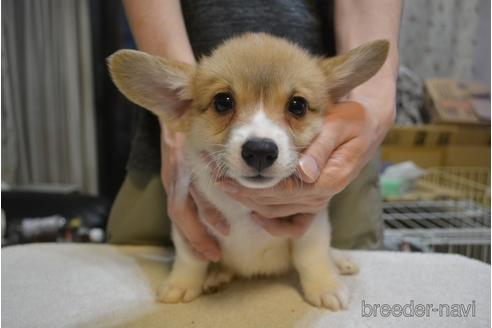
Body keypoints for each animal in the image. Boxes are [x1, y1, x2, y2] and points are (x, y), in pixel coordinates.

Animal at [108, 33, 388, 310]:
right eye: (222, 102)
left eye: (297, 105)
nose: (260, 150)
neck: (245, 210)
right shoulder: (188, 223)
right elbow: (191, 259)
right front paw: (181, 284)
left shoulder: (311, 222)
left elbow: (313, 256)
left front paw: (325, 287)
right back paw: (217, 276)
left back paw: (340, 261)